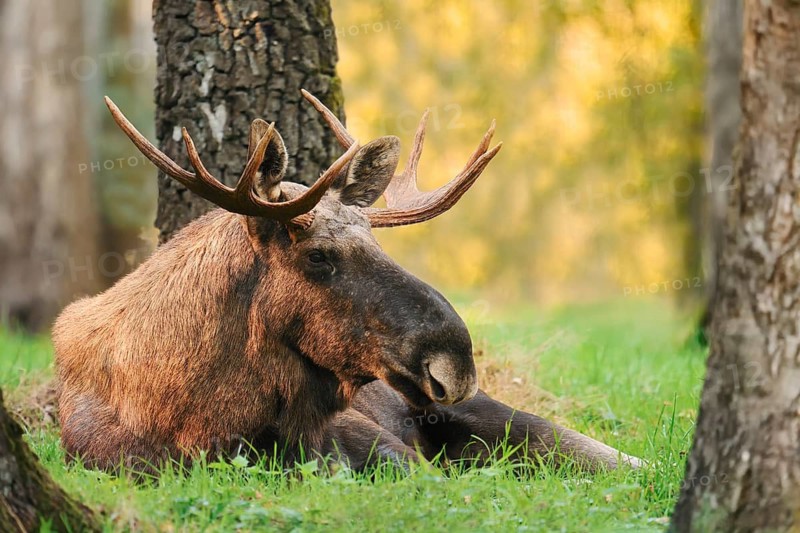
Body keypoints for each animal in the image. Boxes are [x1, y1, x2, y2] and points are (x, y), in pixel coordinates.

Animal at [53, 91, 641, 475]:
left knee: (631, 462)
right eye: (317, 256)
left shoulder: (381, 451)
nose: (455, 362)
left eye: (379, 246)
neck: (193, 420)